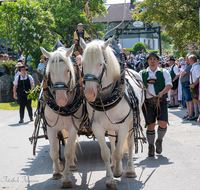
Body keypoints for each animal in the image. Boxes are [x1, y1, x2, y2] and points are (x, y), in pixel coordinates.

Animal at [40, 45, 82, 189]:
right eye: (49, 72)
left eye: (68, 70)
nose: (61, 99)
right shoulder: (51, 127)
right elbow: (54, 151)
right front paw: (57, 172)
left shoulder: (74, 126)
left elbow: (68, 151)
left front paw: (66, 179)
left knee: (71, 144)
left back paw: (72, 165)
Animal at [80, 37, 145, 189]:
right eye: (83, 64)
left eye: (100, 63)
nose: (89, 93)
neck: (107, 98)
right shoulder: (97, 127)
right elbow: (106, 153)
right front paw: (110, 178)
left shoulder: (123, 126)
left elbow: (119, 152)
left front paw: (118, 171)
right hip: (110, 126)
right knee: (112, 142)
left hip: (132, 122)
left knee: (130, 143)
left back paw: (130, 169)